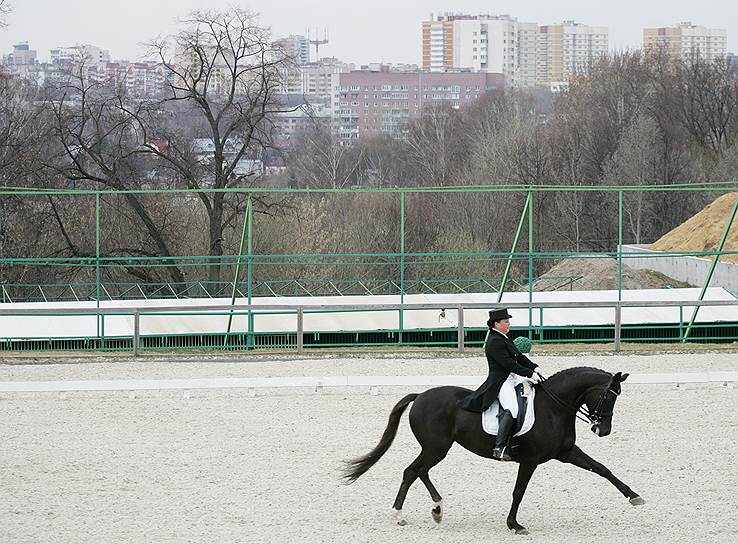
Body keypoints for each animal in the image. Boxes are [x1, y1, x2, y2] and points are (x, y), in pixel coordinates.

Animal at [342, 368, 640, 532]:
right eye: (608, 396)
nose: (603, 430)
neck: (554, 408)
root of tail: (421, 396)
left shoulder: (566, 453)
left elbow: (602, 469)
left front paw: (634, 496)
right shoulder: (530, 460)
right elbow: (519, 492)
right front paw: (514, 525)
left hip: (437, 448)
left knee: (419, 471)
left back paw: (437, 509)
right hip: (437, 447)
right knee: (411, 471)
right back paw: (399, 515)